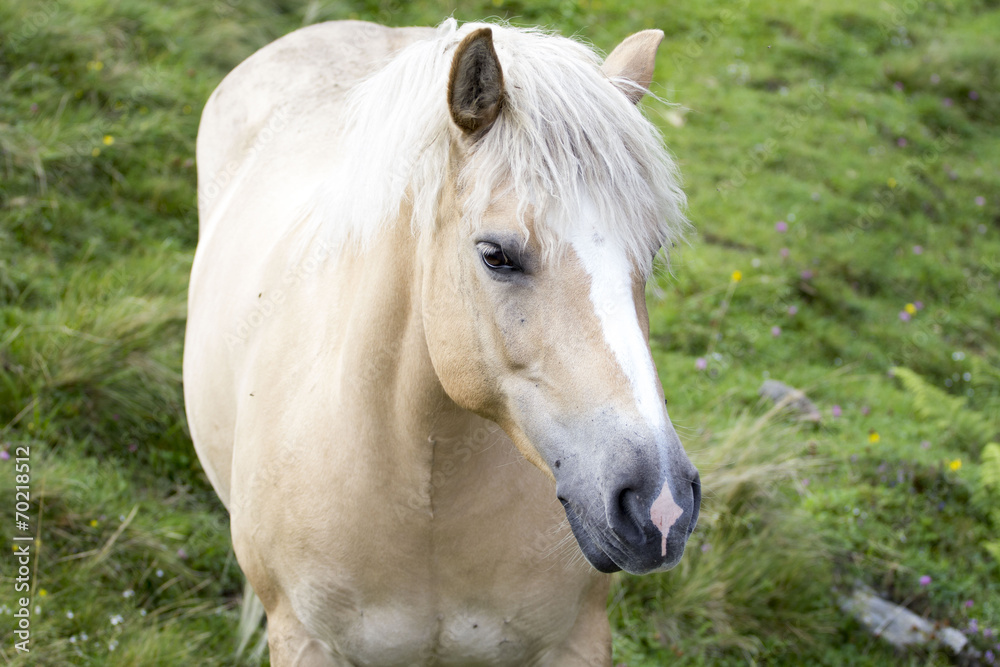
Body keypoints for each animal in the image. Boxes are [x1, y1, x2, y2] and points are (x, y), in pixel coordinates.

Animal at [184, 18, 700, 667]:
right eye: (495, 255)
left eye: (651, 254)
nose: (661, 504)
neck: (427, 494)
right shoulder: (305, 640)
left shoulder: (576, 642)